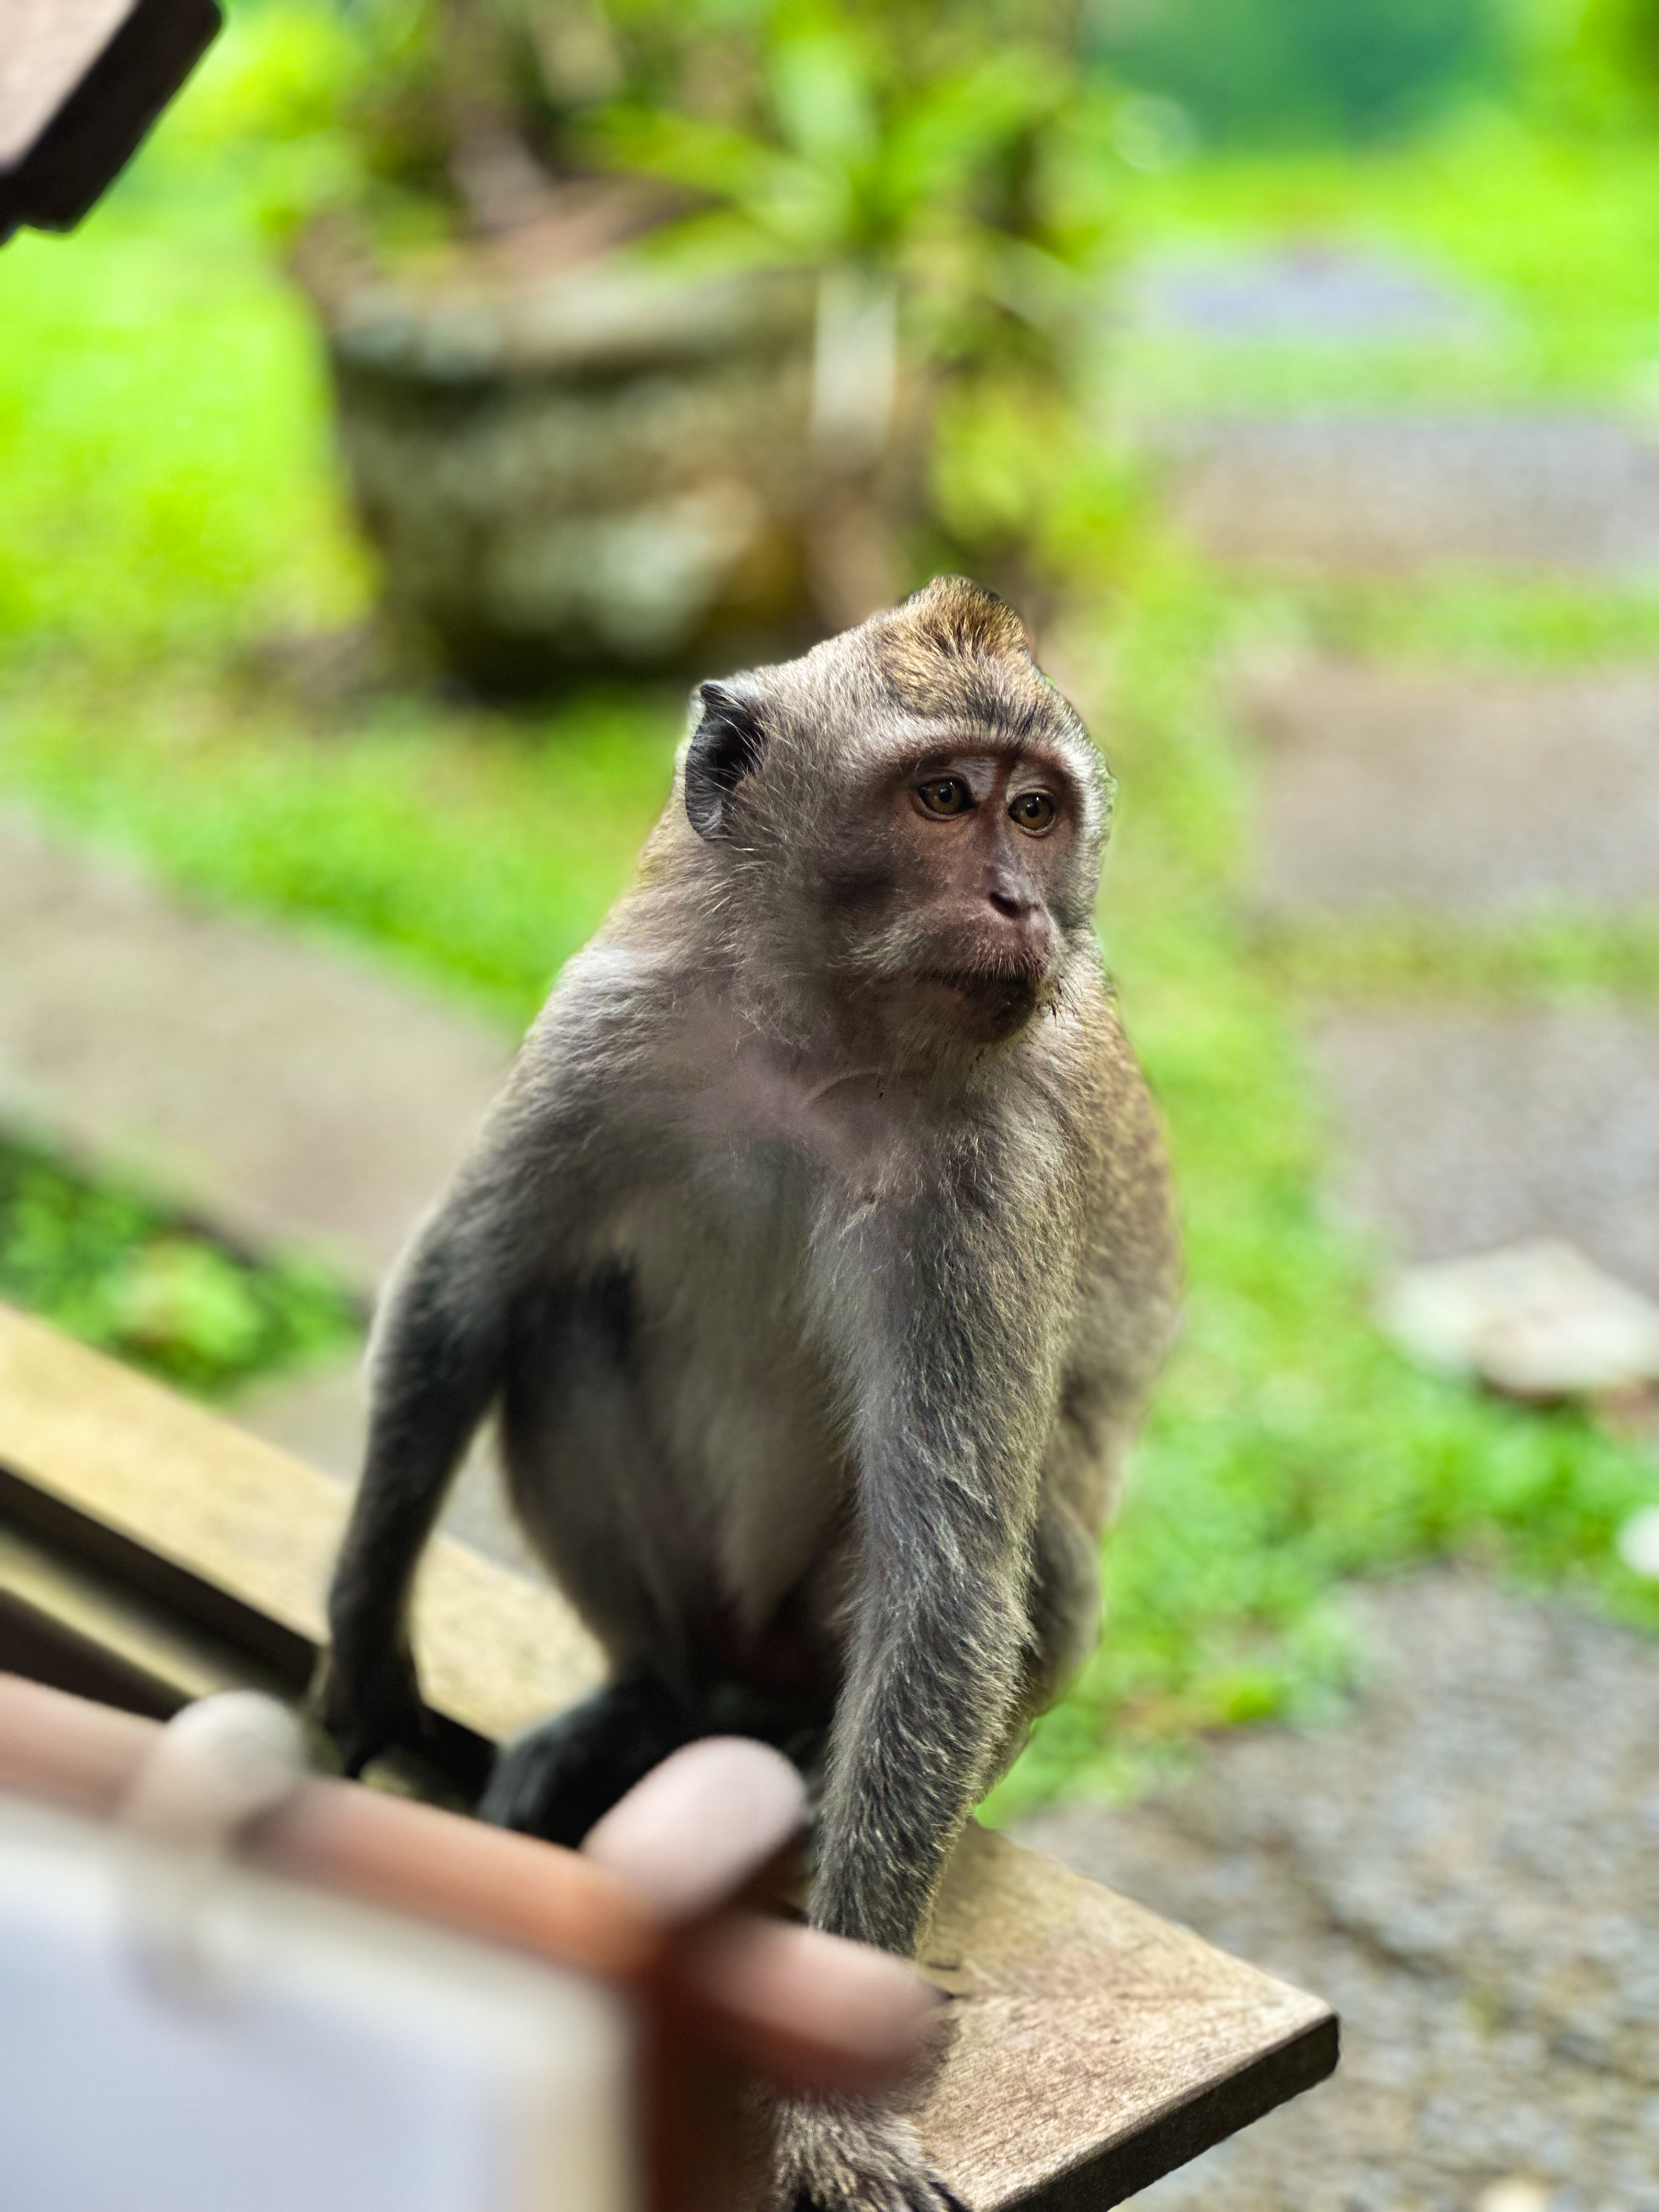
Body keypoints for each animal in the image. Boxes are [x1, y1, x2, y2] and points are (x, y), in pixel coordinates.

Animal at [315, 576, 1180, 2212]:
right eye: (944, 798)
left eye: (1037, 810)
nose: (1024, 906)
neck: (817, 1044)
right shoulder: (605, 1030)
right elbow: (462, 1301)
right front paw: (366, 1652)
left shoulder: (990, 1182)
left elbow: (949, 1575)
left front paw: (831, 2102)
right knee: (558, 1322)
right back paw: (648, 1708)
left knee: (1032, 1550)